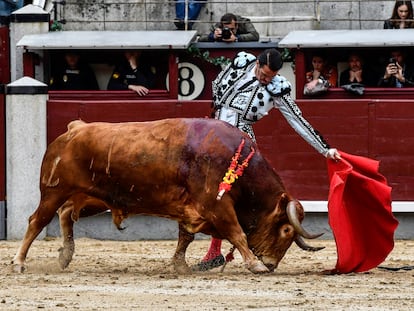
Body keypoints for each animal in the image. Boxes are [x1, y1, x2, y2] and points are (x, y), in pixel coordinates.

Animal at [12, 118, 322, 274]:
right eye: (286, 230)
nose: (271, 266)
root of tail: (74, 129)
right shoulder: (217, 206)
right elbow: (237, 233)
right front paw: (254, 264)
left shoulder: (192, 210)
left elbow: (185, 237)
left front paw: (179, 266)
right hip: (53, 191)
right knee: (37, 221)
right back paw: (19, 262)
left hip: (94, 198)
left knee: (66, 213)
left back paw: (65, 256)